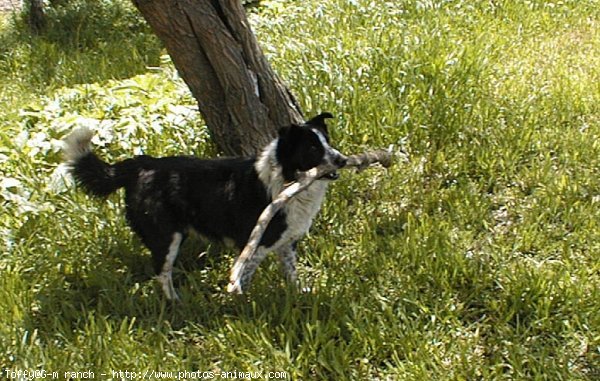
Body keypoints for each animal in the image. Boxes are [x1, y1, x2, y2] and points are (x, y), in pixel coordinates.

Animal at [62, 111, 346, 298]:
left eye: (328, 142)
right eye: (312, 148)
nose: (342, 160)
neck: (286, 179)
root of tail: (143, 164)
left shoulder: (287, 242)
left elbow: (290, 272)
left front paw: (297, 294)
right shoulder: (255, 243)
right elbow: (244, 276)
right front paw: (241, 300)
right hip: (168, 236)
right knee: (162, 272)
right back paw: (175, 302)